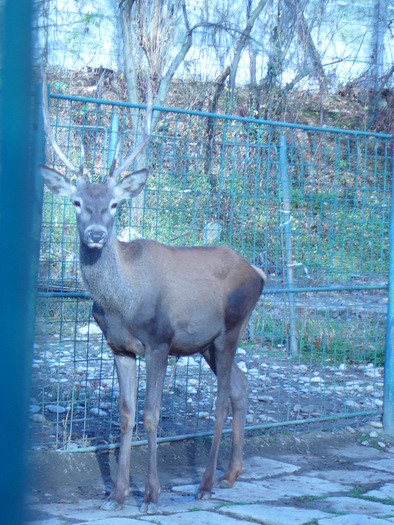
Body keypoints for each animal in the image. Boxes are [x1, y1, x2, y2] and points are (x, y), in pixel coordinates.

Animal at [38, 75, 266, 512]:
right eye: (76, 202)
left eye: (113, 204)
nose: (96, 234)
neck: (122, 303)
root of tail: (260, 272)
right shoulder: (119, 347)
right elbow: (126, 414)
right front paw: (116, 494)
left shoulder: (160, 340)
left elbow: (151, 414)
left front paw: (151, 493)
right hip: (207, 344)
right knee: (241, 388)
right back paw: (232, 474)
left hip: (232, 327)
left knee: (220, 400)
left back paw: (206, 484)